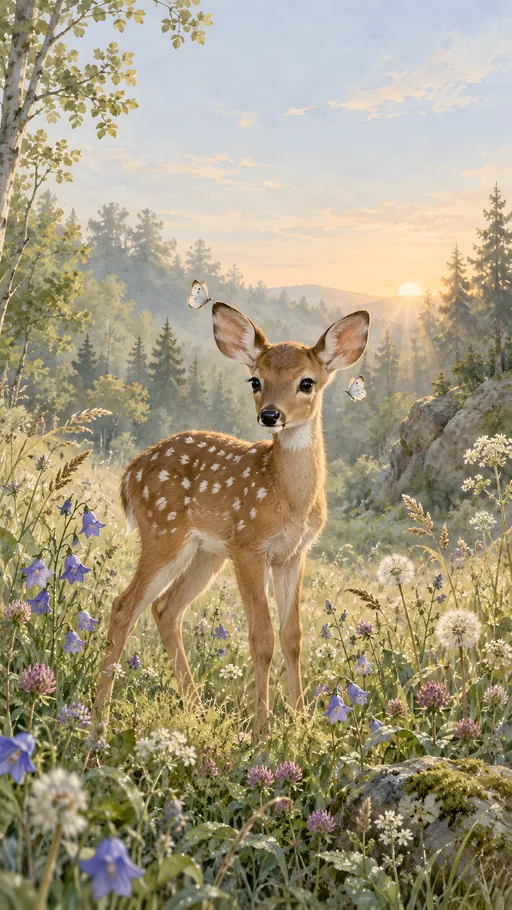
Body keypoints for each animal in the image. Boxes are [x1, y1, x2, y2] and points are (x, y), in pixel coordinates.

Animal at [94, 300, 370, 732]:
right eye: (255, 381)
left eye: (307, 382)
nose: (271, 415)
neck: (288, 497)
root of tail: (130, 471)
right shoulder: (248, 545)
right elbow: (262, 638)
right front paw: (262, 731)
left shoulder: (293, 554)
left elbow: (293, 636)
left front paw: (301, 721)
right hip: (164, 532)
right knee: (125, 606)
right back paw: (98, 716)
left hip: (206, 553)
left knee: (165, 609)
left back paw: (197, 711)